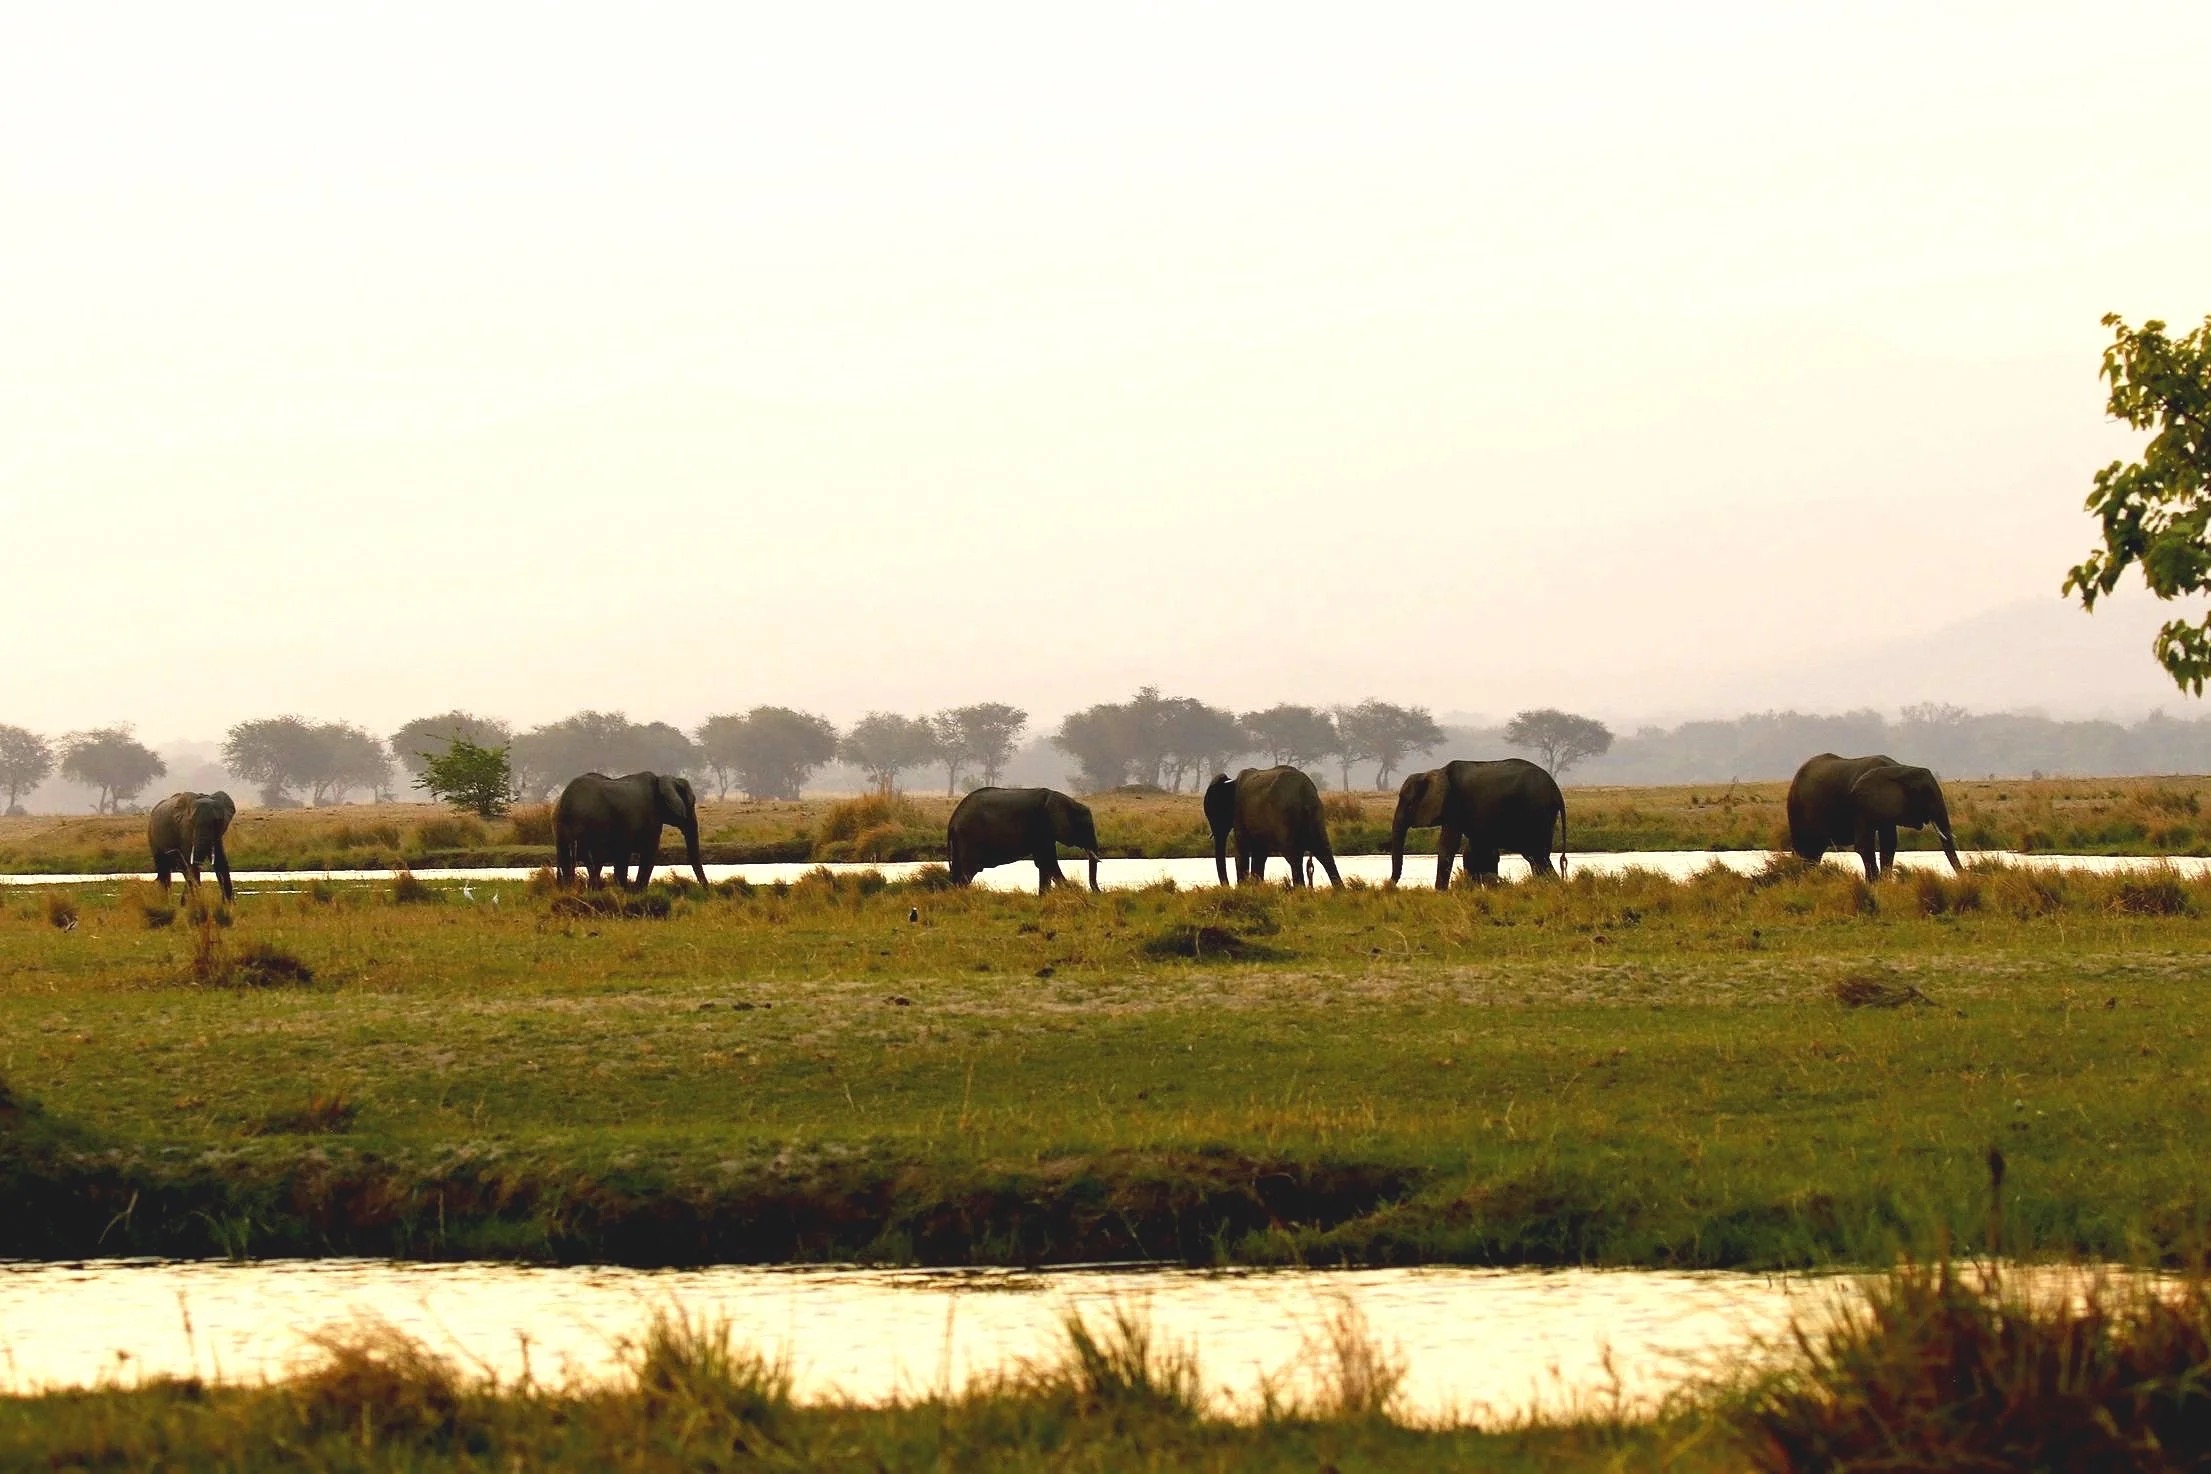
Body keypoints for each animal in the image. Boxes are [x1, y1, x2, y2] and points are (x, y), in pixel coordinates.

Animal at [553, 771, 707, 890]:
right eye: (692, 803)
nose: (707, 890)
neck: (662, 780)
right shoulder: (650, 817)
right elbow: (648, 853)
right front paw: (635, 891)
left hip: (562, 827)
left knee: (569, 858)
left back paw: (572, 889)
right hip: (584, 823)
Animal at [946, 786, 1101, 893]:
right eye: (1085, 826)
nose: (1098, 894)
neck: (1063, 800)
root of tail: (952, 820)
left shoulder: (1045, 833)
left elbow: (1043, 863)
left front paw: (1043, 896)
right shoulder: (1042, 828)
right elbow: (1049, 861)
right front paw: (1072, 892)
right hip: (969, 837)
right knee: (967, 871)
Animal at [1203, 766, 1342, 888]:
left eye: (1214, 812)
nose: (1227, 887)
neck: (1230, 782)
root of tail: (1305, 793)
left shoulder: (1239, 814)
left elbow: (1242, 851)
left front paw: (1243, 889)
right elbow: (1259, 855)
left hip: (1285, 816)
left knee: (1294, 856)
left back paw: (1300, 890)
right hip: (1316, 814)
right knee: (1324, 853)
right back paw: (1339, 891)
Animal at [1388, 758, 1566, 889]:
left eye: (1408, 803)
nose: (1391, 886)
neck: (1435, 772)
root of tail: (1556, 790)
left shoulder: (1454, 806)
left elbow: (1448, 844)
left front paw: (1440, 892)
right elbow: (1475, 849)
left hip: (1537, 813)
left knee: (1537, 856)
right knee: (1537, 858)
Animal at [1786, 753, 1961, 881]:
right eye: (1925, 793)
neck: (1899, 768)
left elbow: (1889, 844)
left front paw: (1884, 883)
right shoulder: (1861, 805)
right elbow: (1864, 845)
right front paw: (1874, 884)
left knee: (1815, 851)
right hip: (1796, 808)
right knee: (1803, 847)